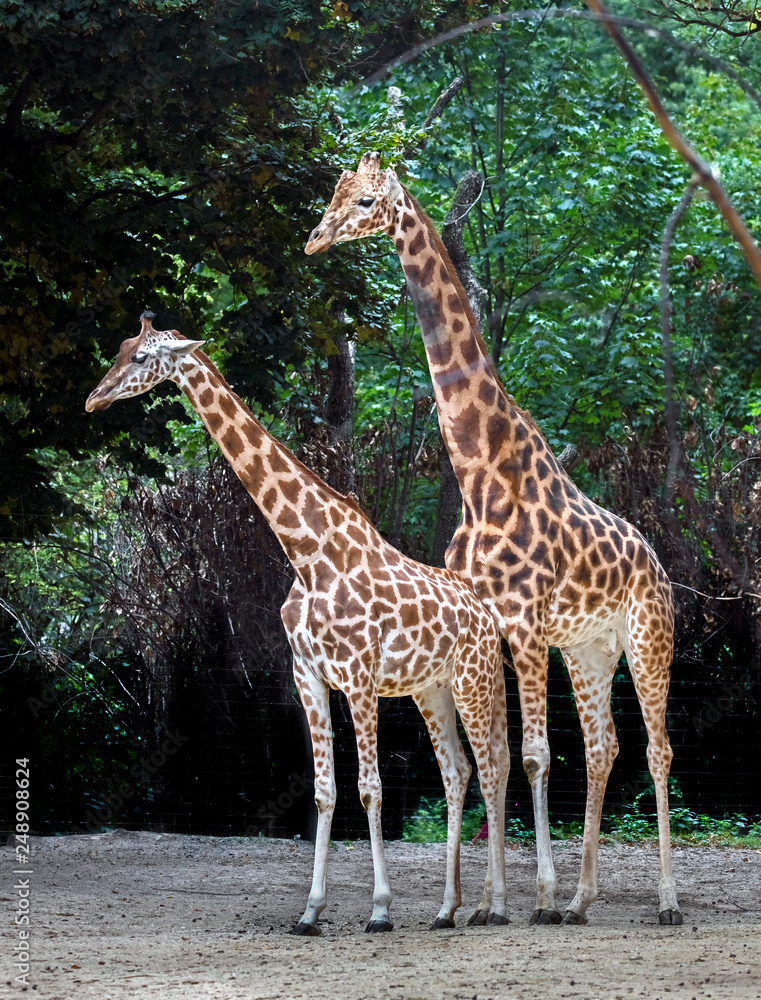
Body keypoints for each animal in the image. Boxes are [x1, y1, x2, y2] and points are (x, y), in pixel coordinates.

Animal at [85, 311, 510, 934]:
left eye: (141, 358)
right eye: (118, 347)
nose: (94, 398)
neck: (307, 554)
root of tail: (486, 613)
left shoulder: (359, 676)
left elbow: (370, 788)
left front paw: (379, 909)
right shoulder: (307, 674)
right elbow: (325, 791)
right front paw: (311, 911)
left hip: (472, 681)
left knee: (493, 766)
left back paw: (494, 905)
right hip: (430, 689)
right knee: (457, 772)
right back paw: (447, 907)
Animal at [305, 151, 682, 926]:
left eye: (364, 201)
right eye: (331, 194)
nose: (314, 240)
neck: (480, 470)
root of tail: (658, 565)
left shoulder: (523, 621)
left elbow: (531, 754)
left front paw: (530, 897)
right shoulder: (495, 626)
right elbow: (498, 756)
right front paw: (487, 902)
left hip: (645, 637)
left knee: (657, 749)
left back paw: (661, 900)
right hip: (588, 649)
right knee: (603, 747)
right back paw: (582, 899)